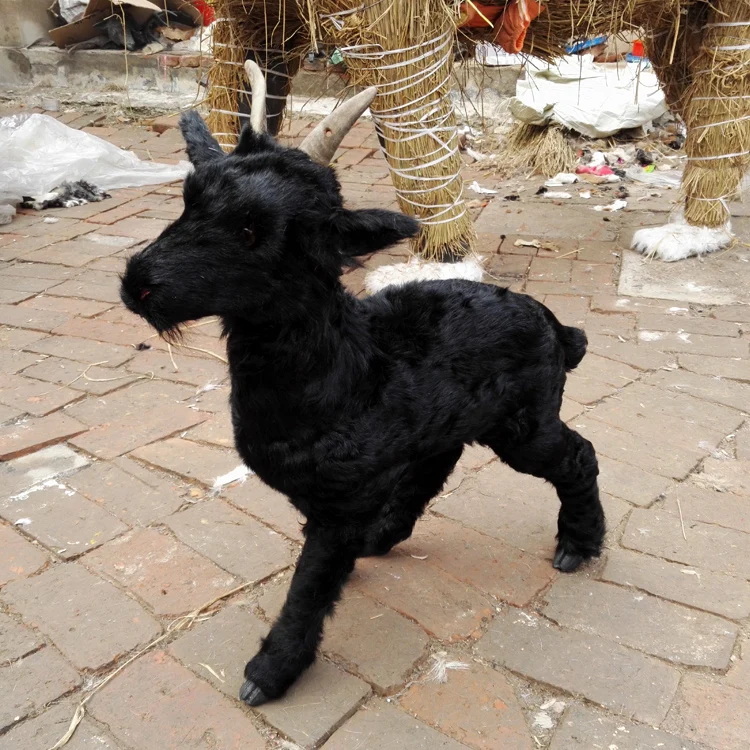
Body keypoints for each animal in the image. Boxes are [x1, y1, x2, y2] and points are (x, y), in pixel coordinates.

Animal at [120, 61, 605, 707]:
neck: (344, 367)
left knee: (578, 454)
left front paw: (271, 671)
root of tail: (558, 327)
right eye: (187, 199)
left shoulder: (337, 507)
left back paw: (579, 544)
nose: (137, 285)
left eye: (254, 231)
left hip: (525, 424)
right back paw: (386, 534)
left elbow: (309, 587)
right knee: (438, 461)